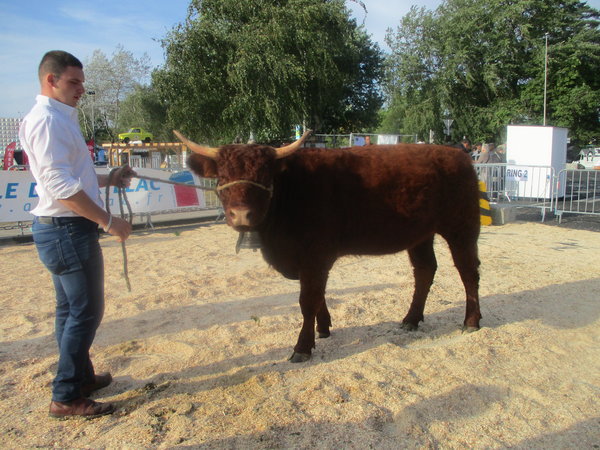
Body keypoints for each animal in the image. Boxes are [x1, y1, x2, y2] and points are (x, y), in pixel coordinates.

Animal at [176, 130, 480, 362]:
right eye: (222, 177)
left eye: (265, 176)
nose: (241, 215)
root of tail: (456, 154)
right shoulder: (309, 261)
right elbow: (318, 294)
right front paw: (323, 328)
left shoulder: (315, 256)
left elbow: (308, 299)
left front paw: (302, 347)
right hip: (420, 235)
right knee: (425, 270)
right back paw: (411, 319)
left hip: (462, 228)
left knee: (468, 272)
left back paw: (471, 322)